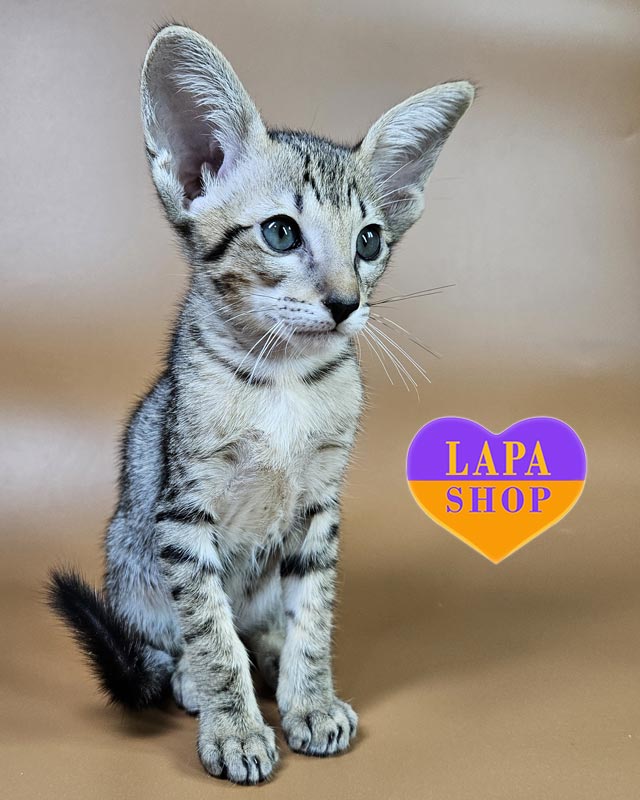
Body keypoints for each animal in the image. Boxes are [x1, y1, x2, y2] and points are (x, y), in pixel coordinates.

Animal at [48, 24, 474, 785]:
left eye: (369, 240)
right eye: (280, 232)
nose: (346, 303)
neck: (284, 382)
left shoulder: (319, 510)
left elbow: (315, 616)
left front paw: (311, 699)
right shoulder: (184, 515)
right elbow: (211, 632)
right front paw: (236, 729)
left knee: (262, 625)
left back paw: (270, 658)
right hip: (132, 555)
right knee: (172, 642)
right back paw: (195, 678)